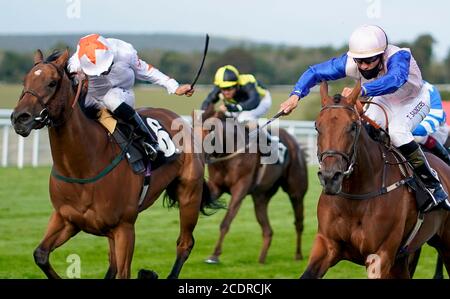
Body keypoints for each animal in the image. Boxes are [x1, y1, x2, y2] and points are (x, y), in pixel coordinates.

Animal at [10, 50, 220, 280]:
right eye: (25, 81)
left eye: (51, 83)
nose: (20, 118)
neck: (82, 166)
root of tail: (180, 120)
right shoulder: (66, 219)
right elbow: (40, 254)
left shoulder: (124, 227)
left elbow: (122, 272)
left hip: (189, 194)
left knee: (185, 244)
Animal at [201, 106, 310, 264]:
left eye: (210, 129)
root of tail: (295, 143)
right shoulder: (216, 186)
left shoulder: (240, 189)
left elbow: (226, 222)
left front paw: (214, 255)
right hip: (261, 197)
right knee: (268, 230)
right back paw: (262, 259)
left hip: (296, 193)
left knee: (299, 223)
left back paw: (298, 255)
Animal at [300, 81, 450, 278]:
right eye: (318, 126)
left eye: (353, 126)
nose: (330, 177)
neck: (355, 197)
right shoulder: (326, 245)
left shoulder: (381, 255)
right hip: (402, 259)